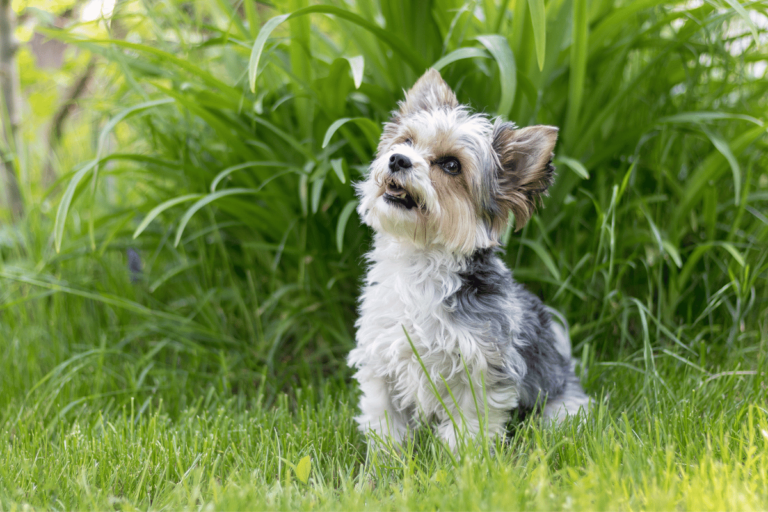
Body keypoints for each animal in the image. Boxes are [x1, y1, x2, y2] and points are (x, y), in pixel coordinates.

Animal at [350, 69, 592, 452]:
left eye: (451, 165)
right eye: (405, 141)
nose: (398, 159)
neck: (421, 263)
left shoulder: (480, 369)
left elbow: (467, 428)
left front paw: (462, 462)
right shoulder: (382, 361)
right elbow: (385, 421)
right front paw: (386, 459)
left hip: (561, 406)